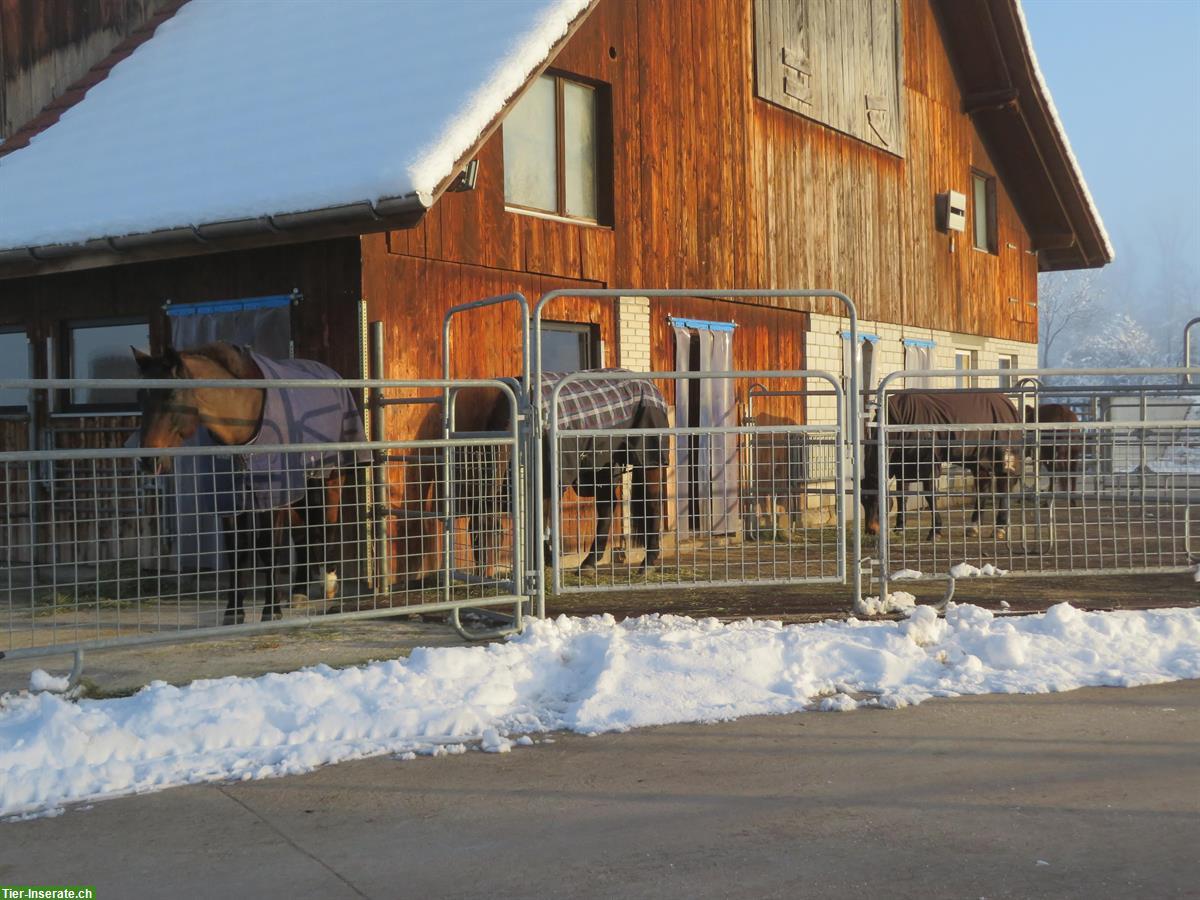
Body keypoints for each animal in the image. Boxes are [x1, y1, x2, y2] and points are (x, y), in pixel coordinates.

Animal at [132, 345, 364, 628]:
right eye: (141, 397)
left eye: (173, 394)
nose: (148, 460)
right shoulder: (230, 501)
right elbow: (237, 553)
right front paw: (234, 612)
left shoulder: (272, 499)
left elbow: (268, 549)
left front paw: (271, 610)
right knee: (302, 535)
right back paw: (298, 592)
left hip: (327, 480)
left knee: (327, 528)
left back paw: (329, 584)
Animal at [465, 374, 676, 578]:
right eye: (473, 535)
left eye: (496, 533)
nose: (483, 577)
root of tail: (650, 385)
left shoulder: (545, 487)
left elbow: (539, 527)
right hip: (603, 468)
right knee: (607, 509)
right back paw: (589, 564)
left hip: (649, 461)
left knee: (653, 504)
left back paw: (647, 563)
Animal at [864, 388, 1022, 542]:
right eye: (863, 501)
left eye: (877, 501)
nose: (871, 530)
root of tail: (1009, 404)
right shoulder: (903, 465)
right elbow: (901, 496)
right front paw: (899, 528)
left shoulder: (928, 463)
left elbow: (930, 495)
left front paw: (935, 532)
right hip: (978, 461)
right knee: (983, 487)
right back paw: (973, 527)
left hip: (1002, 456)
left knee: (1005, 485)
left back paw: (999, 529)